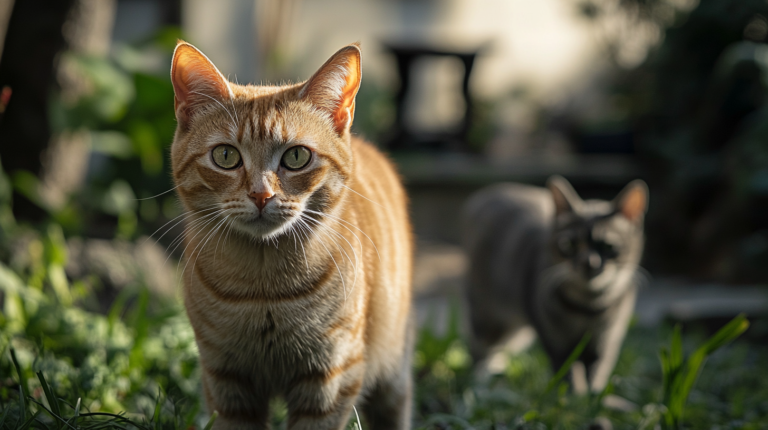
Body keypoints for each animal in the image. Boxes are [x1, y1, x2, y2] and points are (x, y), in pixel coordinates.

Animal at [170, 41, 414, 430]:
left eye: (297, 156)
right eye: (225, 156)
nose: (261, 195)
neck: (265, 290)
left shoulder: (330, 378)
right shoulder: (226, 379)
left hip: (393, 367)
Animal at [462, 175, 648, 394]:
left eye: (607, 246)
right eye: (569, 244)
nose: (588, 262)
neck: (587, 307)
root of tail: (483, 195)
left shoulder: (607, 339)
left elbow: (597, 371)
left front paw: (593, 395)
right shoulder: (555, 340)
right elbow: (567, 372)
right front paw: (574, 395)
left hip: (516, 330)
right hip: (489, 318)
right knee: (478, 347)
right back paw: (479, 379)